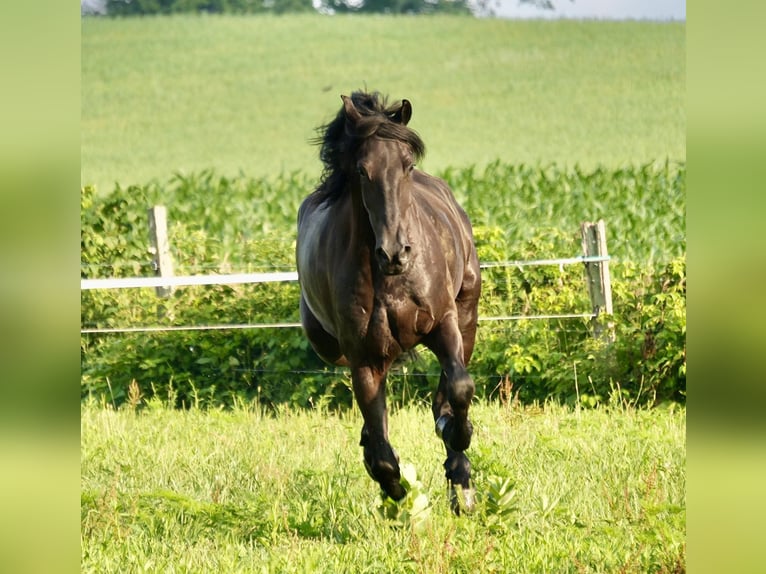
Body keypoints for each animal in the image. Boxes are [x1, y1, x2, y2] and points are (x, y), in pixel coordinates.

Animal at [295, 90, 481, 512]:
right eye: (362, 171)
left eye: (407, 165)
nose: (395, 252)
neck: (390, 280)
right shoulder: (363, 357)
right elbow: (381, 451)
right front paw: (394, 488)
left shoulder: (443, 324)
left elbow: (460, 386)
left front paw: (456, 434)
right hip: (331, 347)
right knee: (375, 422)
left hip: (468, 317)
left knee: (450, 385)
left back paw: (458, 473)